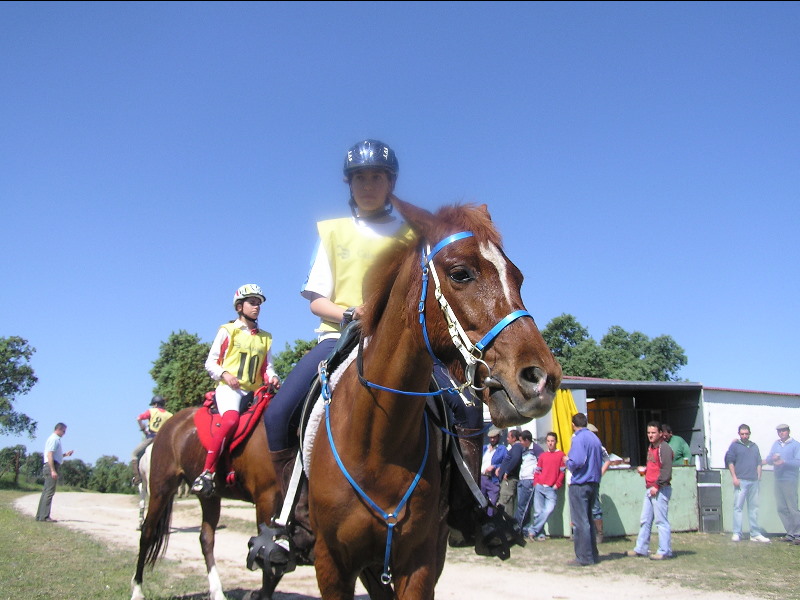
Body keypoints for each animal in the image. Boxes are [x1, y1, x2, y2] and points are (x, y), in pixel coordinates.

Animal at [306, 198, 564, 600]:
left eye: (518, 277)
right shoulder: (331, 565)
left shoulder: (420, 563)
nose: (542, 379)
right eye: (460, 274)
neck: (377, 445)